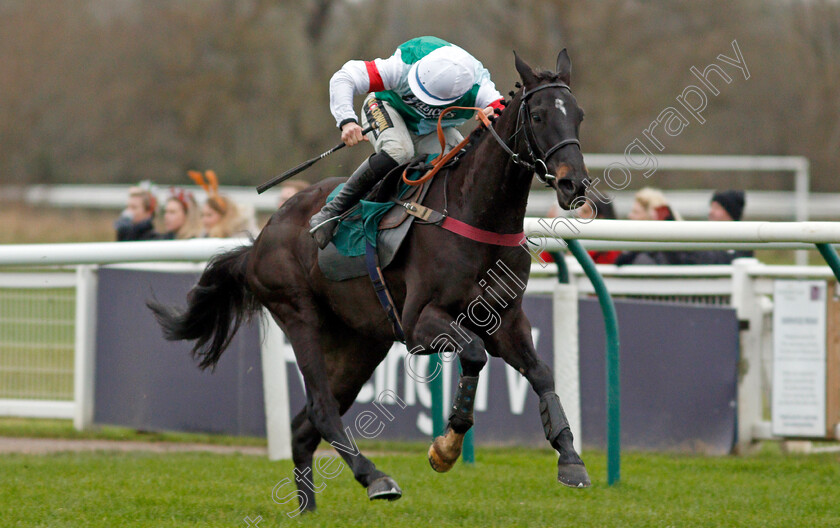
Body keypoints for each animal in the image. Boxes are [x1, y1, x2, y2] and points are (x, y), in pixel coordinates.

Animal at [151, 49, 592, 512]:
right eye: (539, 115)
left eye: (578, 114)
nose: (573, 184)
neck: (474, 214)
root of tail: (259, 240)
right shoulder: (419, 322)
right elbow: (473, 354)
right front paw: (446, 447)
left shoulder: (505, 318)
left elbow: (541, 373)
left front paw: (570, 459)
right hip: (299, 314)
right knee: (322, 409)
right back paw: (376, 477)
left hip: (360, 343)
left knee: (304, 426)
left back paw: (309, 509)